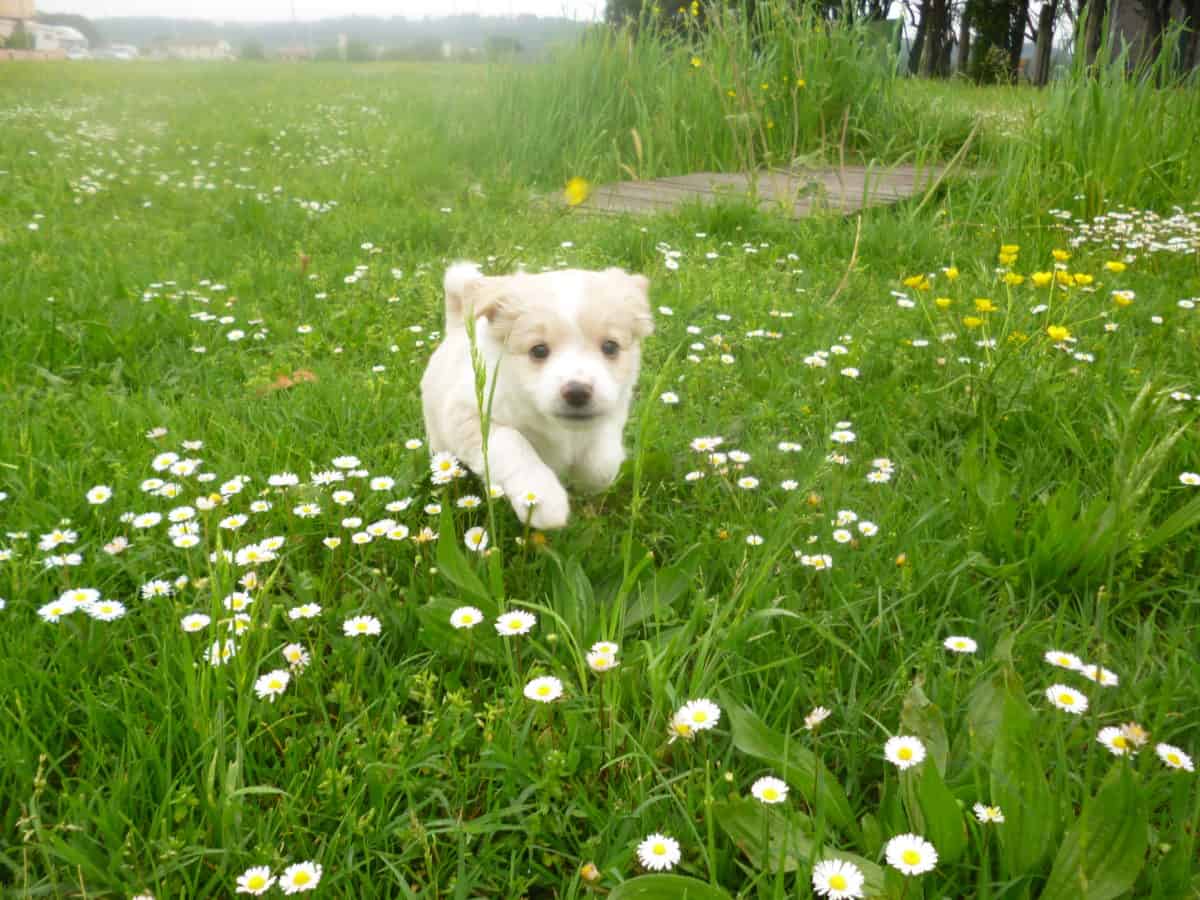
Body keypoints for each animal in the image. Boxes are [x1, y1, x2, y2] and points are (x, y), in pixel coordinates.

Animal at [417, 262, 652, 528]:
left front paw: (589, 479)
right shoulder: (470, 416)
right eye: (539, 350)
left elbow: (602, 459)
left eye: (610, 347)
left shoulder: (614, 407)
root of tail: (456, 329)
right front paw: (543, 500)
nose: (577, 392)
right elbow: (513, 444)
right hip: (439, 435)